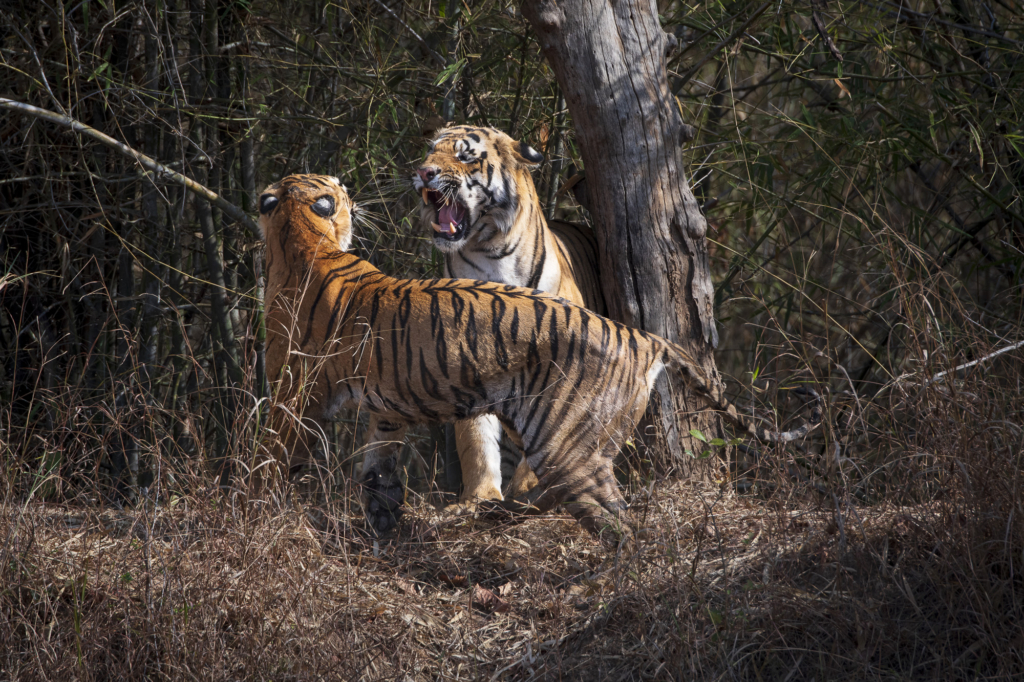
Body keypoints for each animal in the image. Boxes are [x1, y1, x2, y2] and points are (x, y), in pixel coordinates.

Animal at [260, 174, 819, 540]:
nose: (355, 198)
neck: (301, 242)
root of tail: (643, 337)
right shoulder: (386, 409)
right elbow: (378, 471)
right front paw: (382, 526)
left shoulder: (293, 391)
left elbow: (272, 454)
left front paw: (257, 507)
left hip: (564, 442)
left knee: (614, 520)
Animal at [411, 123, 602, 503]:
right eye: (429, 152)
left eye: (464, 155)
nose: (424, 173)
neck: (493, 253)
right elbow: (476, 440)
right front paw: (480, 497)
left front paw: (526, 487)